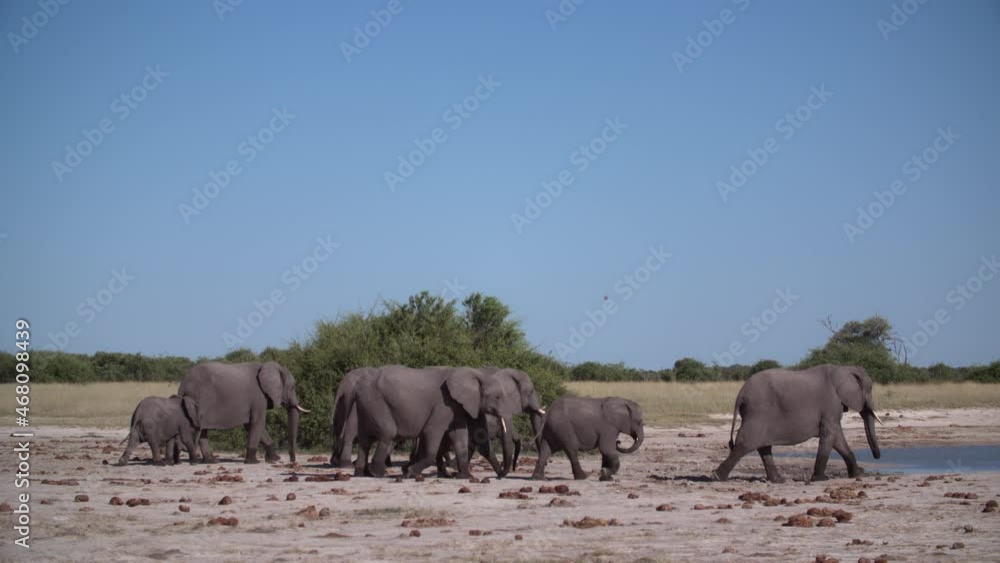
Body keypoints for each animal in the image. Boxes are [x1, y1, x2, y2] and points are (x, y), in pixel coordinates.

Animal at [177, 361, 310, 464]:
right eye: (292, 387)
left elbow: (251, 425)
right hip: (199, 400)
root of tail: (183, 381)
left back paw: (211, 461)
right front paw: (253, 462)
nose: (292, 461)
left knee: (203, 432)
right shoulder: (258, 397)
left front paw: (274, 459)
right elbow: (257, 423)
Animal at [711, 364, 883, 483]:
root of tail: (741, 393)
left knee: (763, 446)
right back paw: (717, 477)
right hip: (758, 412)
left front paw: (858, 473)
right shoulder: (830, 404)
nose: (877, 456)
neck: (842, 368)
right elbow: (829, 434)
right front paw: (821, 479)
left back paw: (778, 480)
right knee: (746, 443)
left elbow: (838, 438)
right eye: (870, 388)